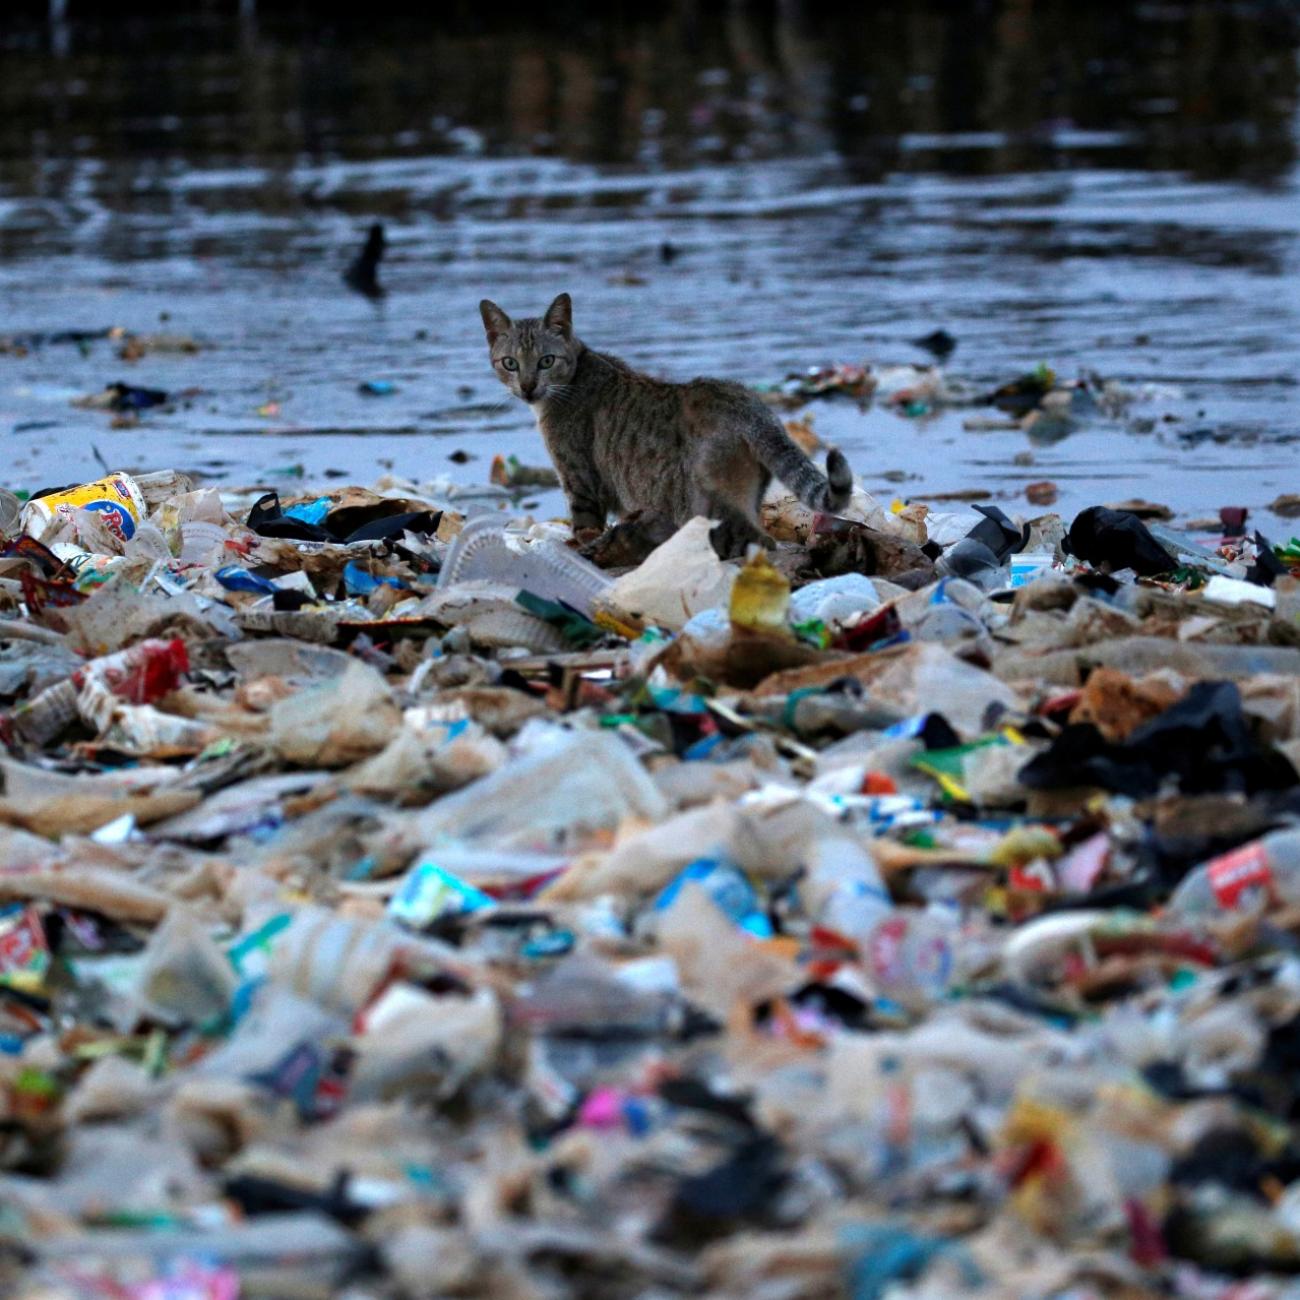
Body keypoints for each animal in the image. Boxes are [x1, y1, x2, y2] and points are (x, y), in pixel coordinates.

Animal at [480, 292, 852, 556]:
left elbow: (585, 526)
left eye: (546, 361)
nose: (527, 386)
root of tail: (748, 403)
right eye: (510, 363)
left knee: (755, 539)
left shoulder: (580, 482)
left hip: (709, 501)